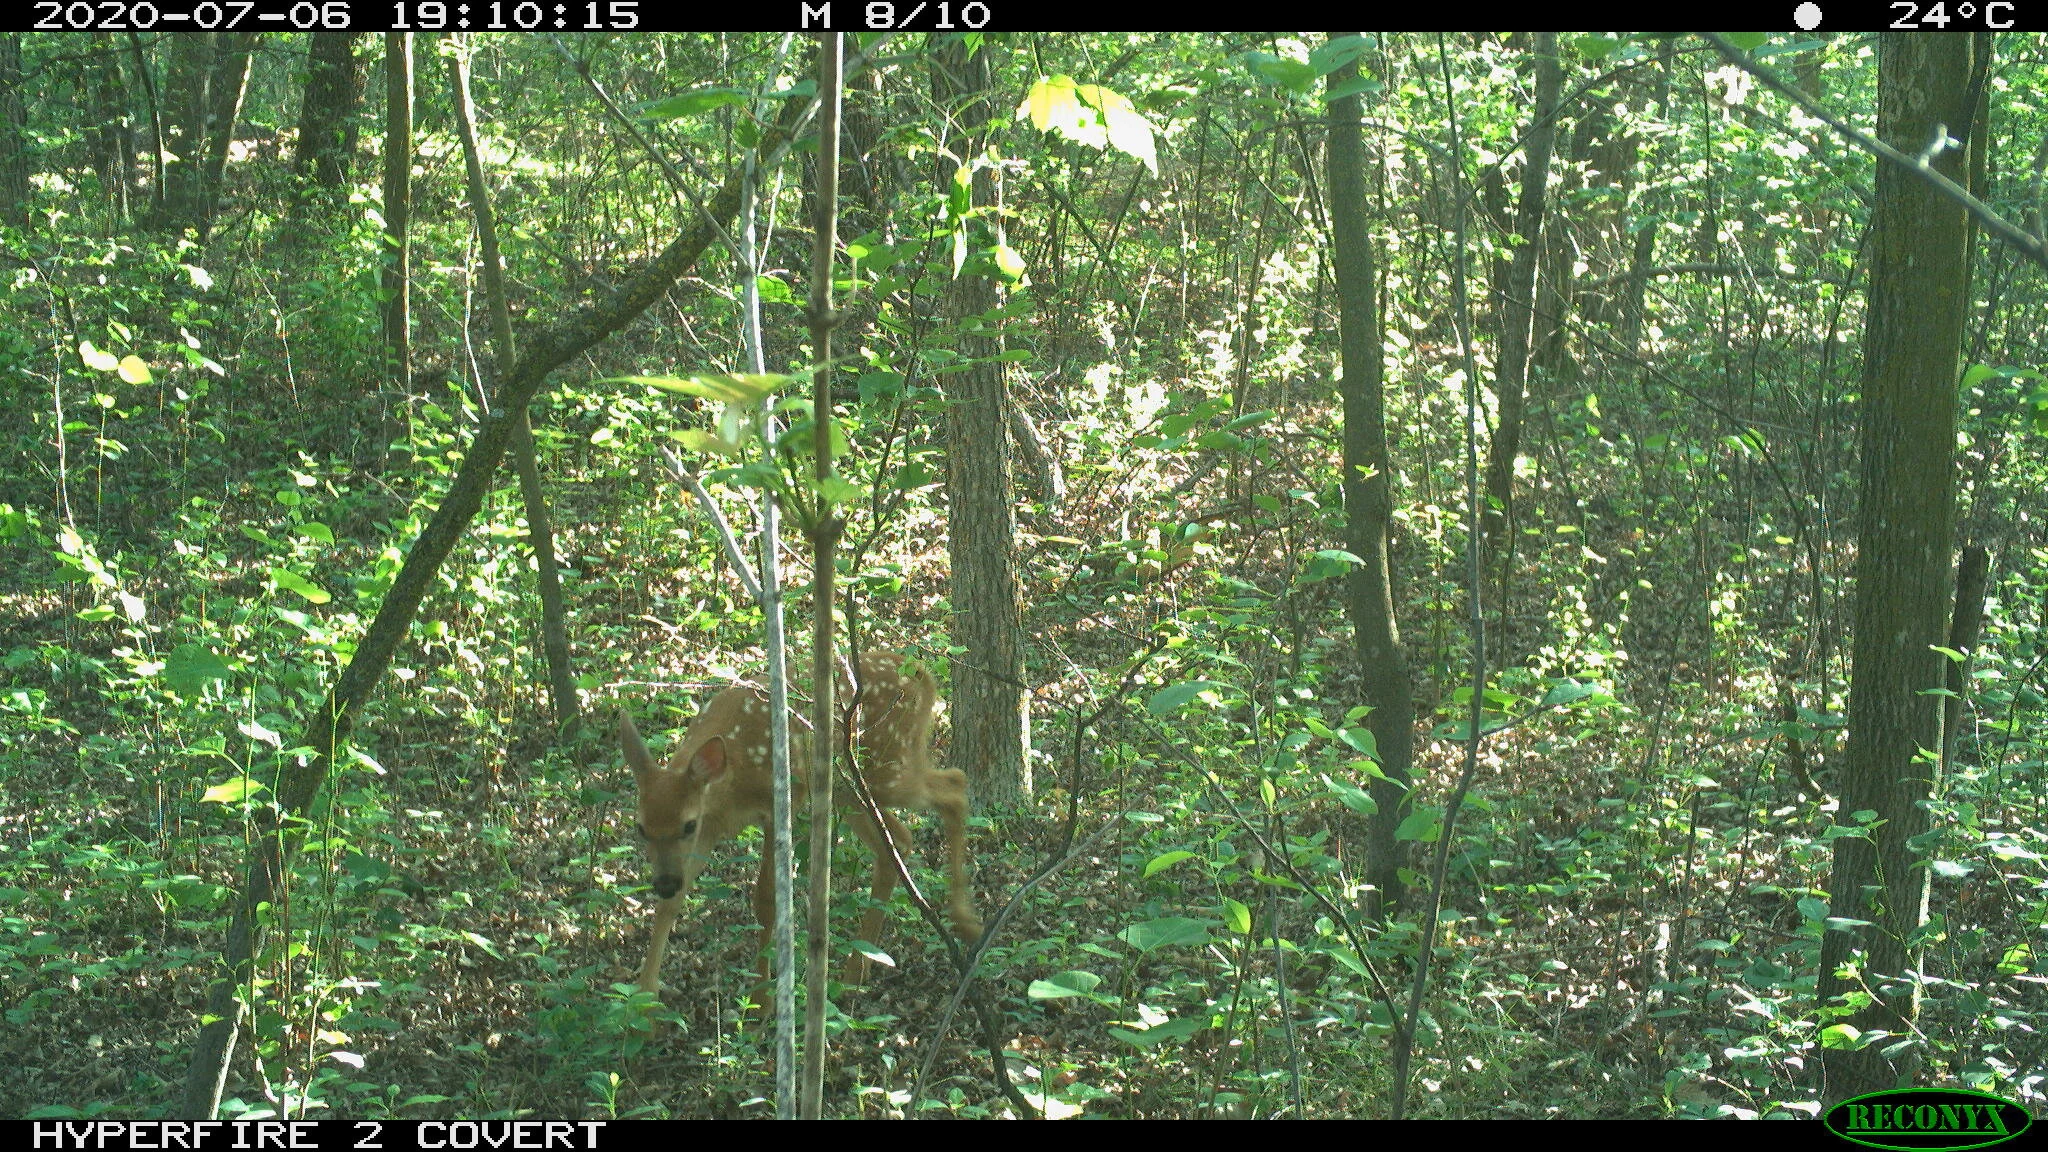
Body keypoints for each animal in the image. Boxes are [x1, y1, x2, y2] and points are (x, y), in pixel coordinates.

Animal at [618, 649, 983, 1000]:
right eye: (641, 828)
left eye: (687, 825)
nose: (664, 882)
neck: (731, 782)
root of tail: (920, 672)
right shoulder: (709, 829)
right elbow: (671, 905)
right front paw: (645, 1000)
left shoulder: (782, 801)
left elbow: (766, 900)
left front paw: (762, 1002)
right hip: (851, 785)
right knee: (900, 838)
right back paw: (856, 974)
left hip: (886, 766)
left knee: (954, 786)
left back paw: (964, 924)